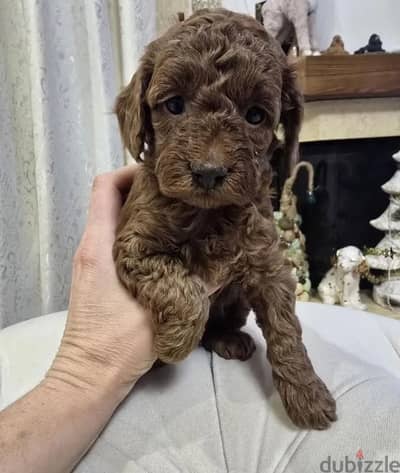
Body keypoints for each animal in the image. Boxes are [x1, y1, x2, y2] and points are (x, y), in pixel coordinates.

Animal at [113, 7, 338, 430]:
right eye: (174, 105)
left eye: (255, 116)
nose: (208, 172)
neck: (206, 213)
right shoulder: (135, 244)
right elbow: (183, 288)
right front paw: (174, 343)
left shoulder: (266, 260)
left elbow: (286, 328)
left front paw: (307, 394)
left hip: (237, 304)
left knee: (222, 324)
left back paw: (228, 340)